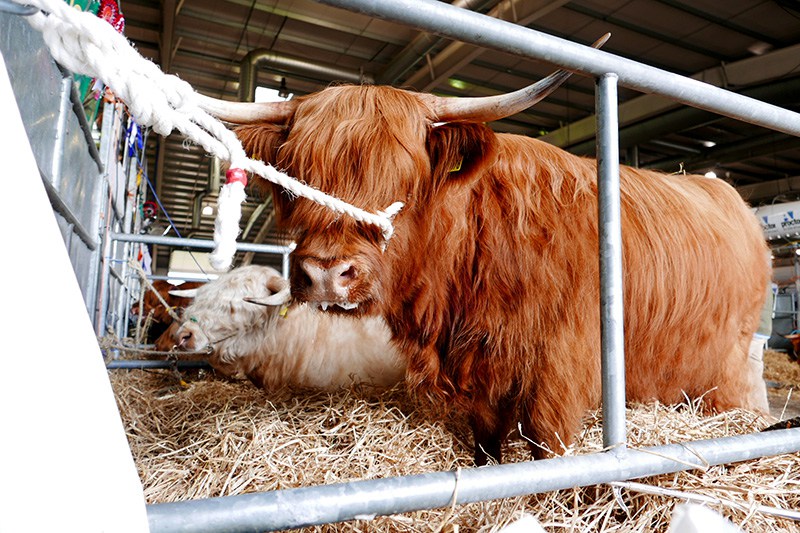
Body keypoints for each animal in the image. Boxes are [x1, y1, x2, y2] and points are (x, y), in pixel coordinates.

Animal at [203, 54, 772, 464]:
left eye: (405, 177)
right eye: (294, 178)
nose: (324, 273)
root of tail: (727, 192)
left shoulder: (558, 369)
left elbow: (548, 446)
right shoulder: (481, 368)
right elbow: (485, 442)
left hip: (733, 358)